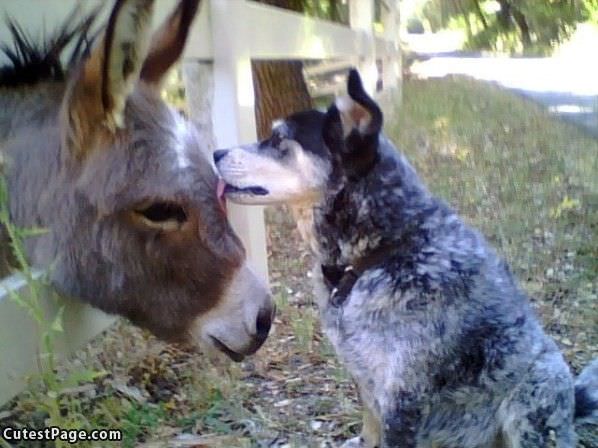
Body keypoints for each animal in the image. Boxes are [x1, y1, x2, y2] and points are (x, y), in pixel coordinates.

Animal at [216, 68, 598, 446]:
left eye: (279, 139)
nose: (216, 152)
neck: (379, 253)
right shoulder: (364, 379)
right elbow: (370, 427)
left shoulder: (404, 394)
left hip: (535, 395)